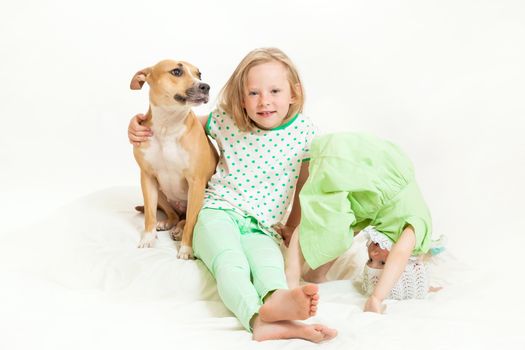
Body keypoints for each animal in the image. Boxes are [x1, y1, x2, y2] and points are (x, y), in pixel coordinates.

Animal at [130, 58, 218, 258]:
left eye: (199, 74)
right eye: (176, 72)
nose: (205, 86)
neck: (168, 125)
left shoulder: (196, 182)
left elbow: (192, 223)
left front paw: (186, 249)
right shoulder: (147, 177)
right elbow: (149, 214)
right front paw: (148, 238)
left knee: (186, 219)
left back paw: (179, 230)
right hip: (161, 192)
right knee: (173, 215)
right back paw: (168, 223)